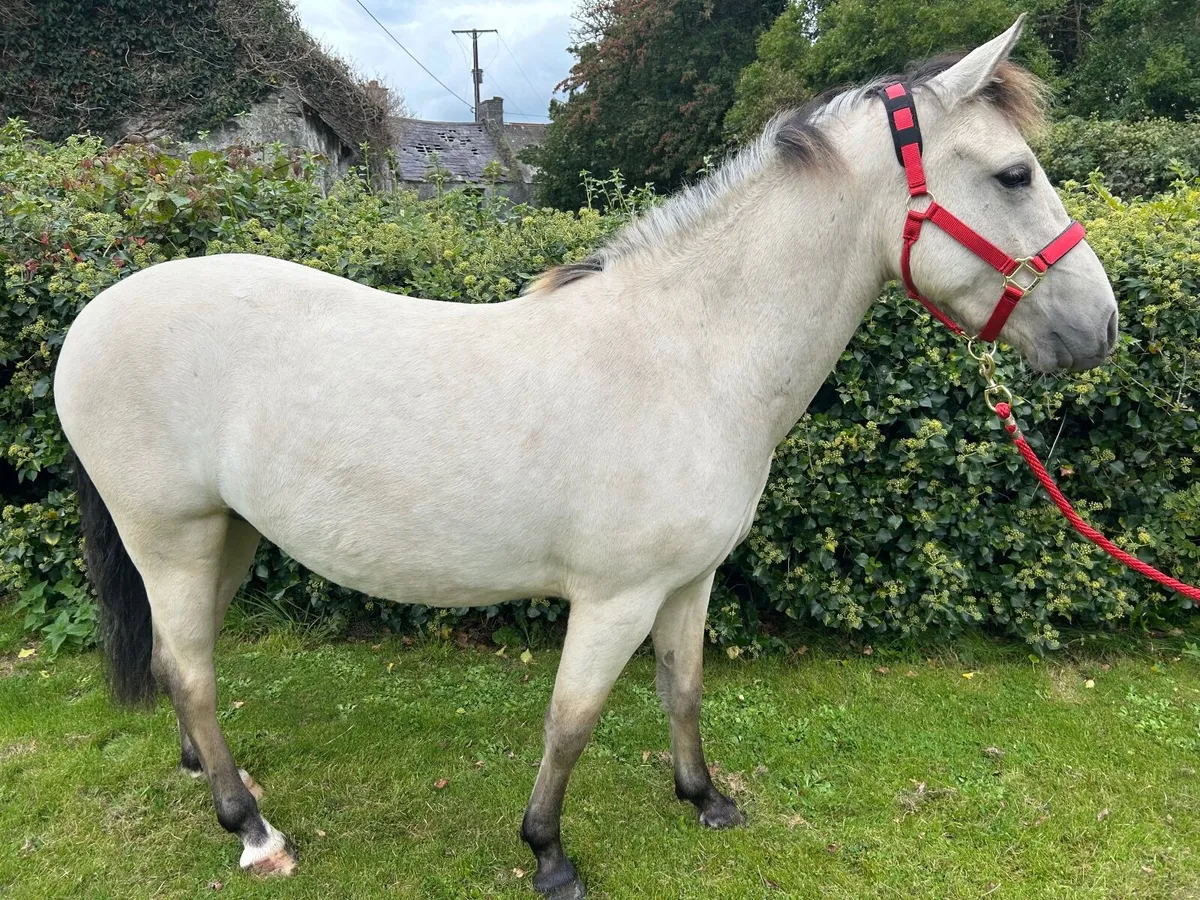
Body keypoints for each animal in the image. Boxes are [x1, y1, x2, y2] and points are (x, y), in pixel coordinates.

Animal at [54, 17, 1117, 899]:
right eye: (1014, 175)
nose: (1100, 328)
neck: (691, 353)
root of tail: (94, 315)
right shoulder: (615, 597)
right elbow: (572, 720)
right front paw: (549, 855)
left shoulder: (689, 581)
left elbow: (682, 690)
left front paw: (706, 799)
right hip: (173, 537)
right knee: (193, 671)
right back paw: (252, 830)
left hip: (226, 537)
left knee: (181, 658)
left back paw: (215, 778)